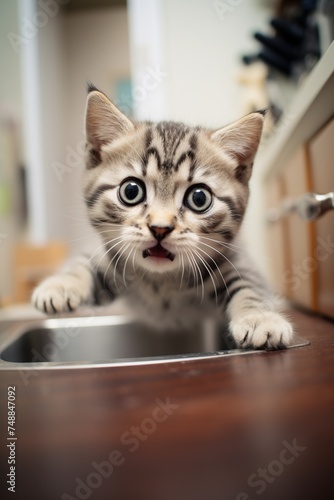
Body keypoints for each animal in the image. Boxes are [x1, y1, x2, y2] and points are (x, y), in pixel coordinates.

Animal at [32, 85, 292, 348]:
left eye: (199, 198)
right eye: (131, 191)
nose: (160, 228)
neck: (161, 282)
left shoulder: (235, 259)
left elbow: (249, 285)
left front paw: (259, 318)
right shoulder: (110, 254)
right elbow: (83, 263)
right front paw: (62, 284)